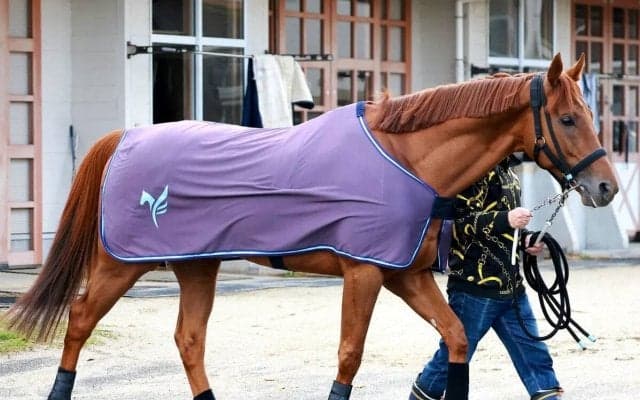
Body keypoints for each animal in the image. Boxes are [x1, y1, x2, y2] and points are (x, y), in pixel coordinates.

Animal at [4, 53, 617, 400]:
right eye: (568, 119)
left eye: (590, 114)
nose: (607, 188)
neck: (406, 158)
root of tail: (124, 138)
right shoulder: (365, 274)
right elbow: (349, 354)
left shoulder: (406, 276)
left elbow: (457, 338)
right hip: (120, 264)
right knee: (80, 320)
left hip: (197, 266)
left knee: (189, 340)